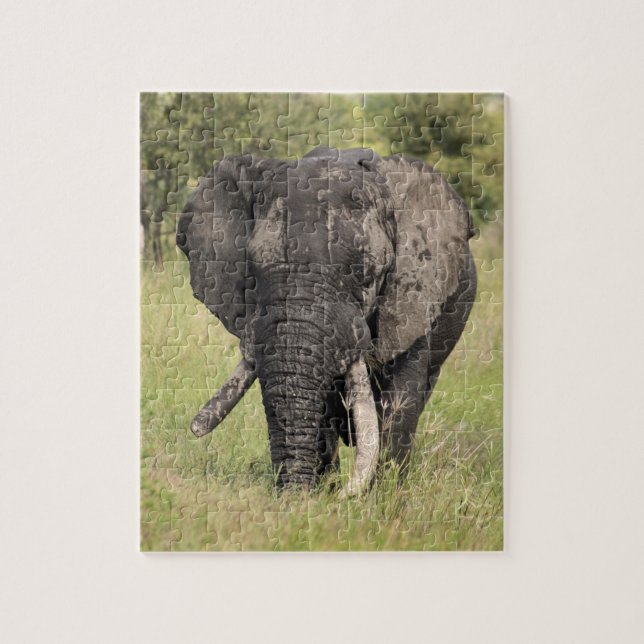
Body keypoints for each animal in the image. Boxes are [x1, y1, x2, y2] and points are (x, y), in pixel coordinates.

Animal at [176, 146, 477, 496]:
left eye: (366, 273)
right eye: (254, 268)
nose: (292, 498)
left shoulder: (414, 293)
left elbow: (401, 399)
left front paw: (381, 498)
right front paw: (324, 495)